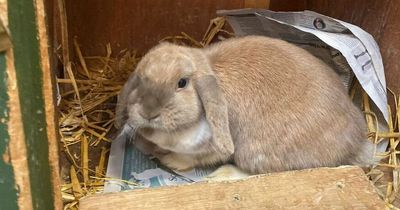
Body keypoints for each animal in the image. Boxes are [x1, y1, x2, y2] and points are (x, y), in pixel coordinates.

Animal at [115, 35, 376, 174]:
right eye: (140, 78)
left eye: (182, 83)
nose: (149, 112)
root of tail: (356, 143)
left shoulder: (207, 150)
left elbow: (192, 159)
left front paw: (170, 162)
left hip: (253, 154)